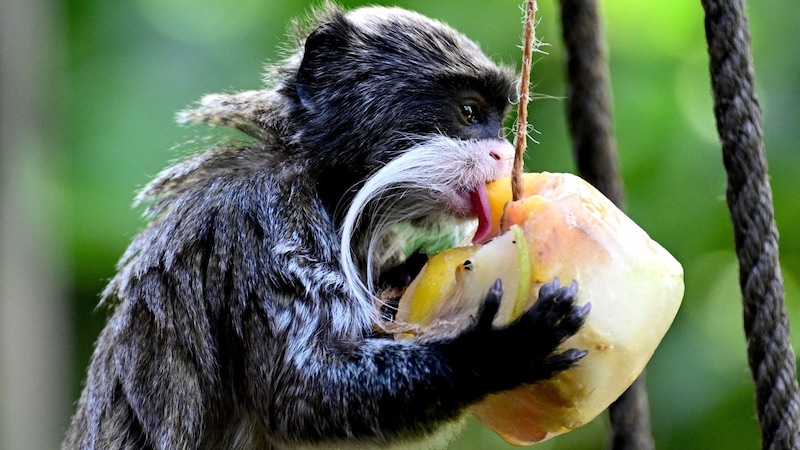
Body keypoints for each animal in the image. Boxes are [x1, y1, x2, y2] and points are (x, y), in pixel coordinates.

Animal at [64, 4, 588, 450]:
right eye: (469, 112)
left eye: (500, 121)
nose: (503, 154)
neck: (327, 188)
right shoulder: (259, 227)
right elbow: (299, 396)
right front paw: (495, 352)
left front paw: (406, 276)